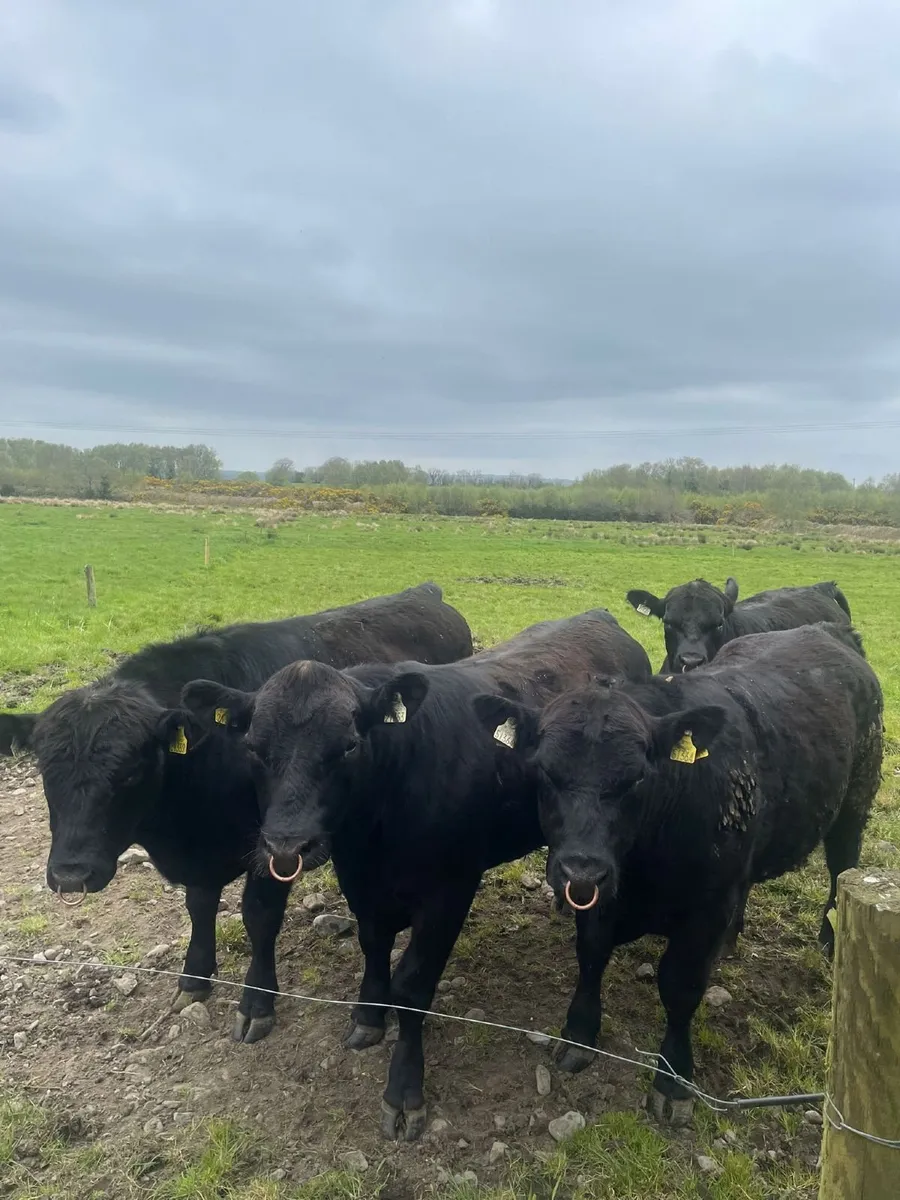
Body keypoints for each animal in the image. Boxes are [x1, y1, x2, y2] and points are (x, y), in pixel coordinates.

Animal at [0, 584, 473, 1044]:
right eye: (44, 767)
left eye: (130, 771)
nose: (70, 876)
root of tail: (423, 593)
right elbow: (198, 906)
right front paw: (193, 978)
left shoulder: (270, 849)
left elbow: (259, 917)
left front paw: (256, 1003)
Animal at [180, 609, 652, 1140]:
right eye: (254, 748)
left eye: (348, 747)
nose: (286, 845)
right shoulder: (360, 878)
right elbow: (372, 943)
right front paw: (369, 1014)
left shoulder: (450, 891)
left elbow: (412, 986)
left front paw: (404, 1091)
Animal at [473, 622, 883, 1125]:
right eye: (545, 772)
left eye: (637, 777)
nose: (582, 866)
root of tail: (826, 630)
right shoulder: (596, 896)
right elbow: (590, 957)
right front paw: (579, 1034)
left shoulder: (704, 909)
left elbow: (680, 986)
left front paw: (672, 1078)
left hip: (854, 805)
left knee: (841, 868)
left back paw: (829, 943)